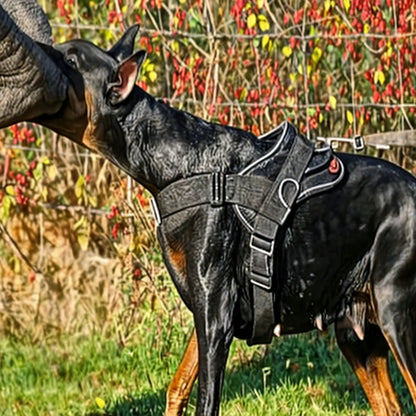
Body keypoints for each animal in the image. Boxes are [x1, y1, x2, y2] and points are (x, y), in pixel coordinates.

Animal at [50, 26, 416, 416]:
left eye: (71, 60)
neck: (184, 164)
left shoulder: (216, 318)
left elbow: (206, 400)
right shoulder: (205, 306)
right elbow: (177, 386)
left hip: (396, 314)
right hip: (355, 331)